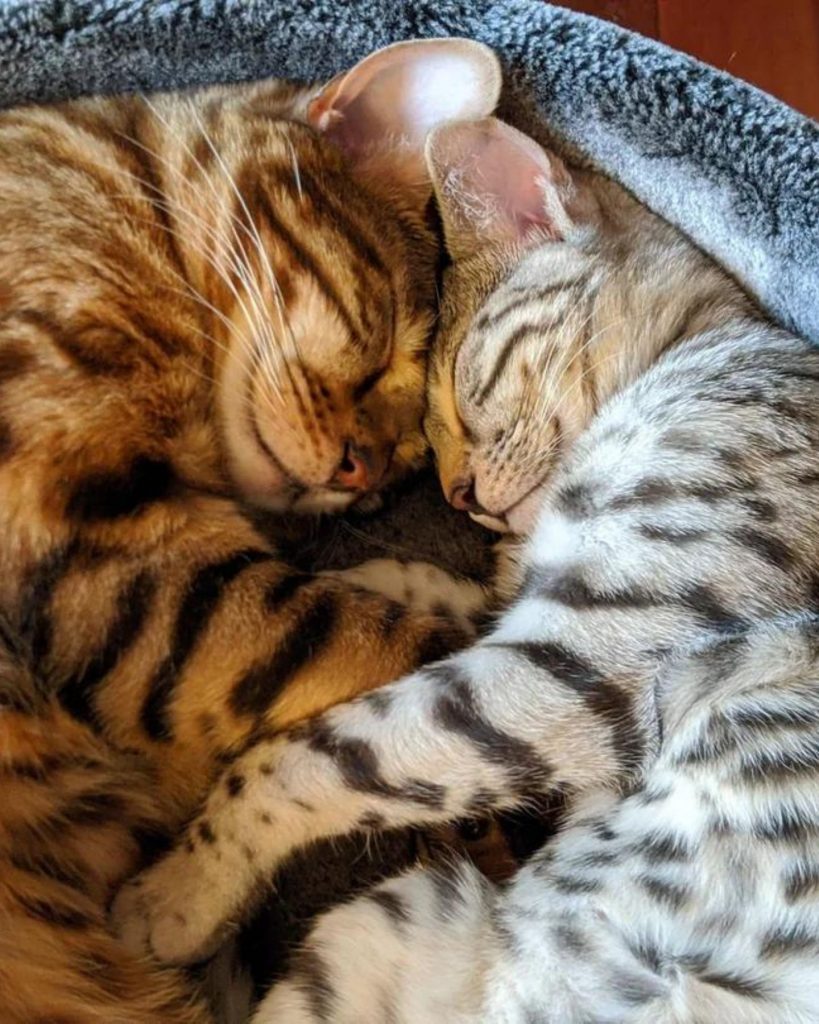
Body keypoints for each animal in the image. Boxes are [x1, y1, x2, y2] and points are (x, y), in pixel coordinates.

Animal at [113, 116, 818, 1019]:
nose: (460, 496)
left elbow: (314, 756)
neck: (698, 353)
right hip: (394, 920)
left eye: (452, 387)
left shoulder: (587, 660)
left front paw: (183, 886)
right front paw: (373, 575)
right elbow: (460, 597)